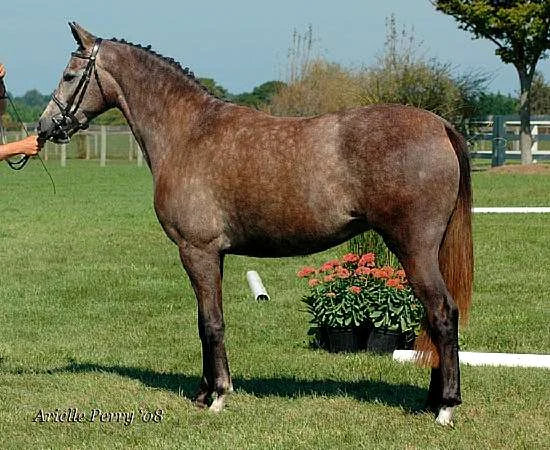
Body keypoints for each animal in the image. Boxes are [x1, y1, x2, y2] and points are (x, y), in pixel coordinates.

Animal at [38, 23, 473, 426]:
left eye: (70, 76)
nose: (45, 126)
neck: (188, 132)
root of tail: (440, 126)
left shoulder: (197, 251)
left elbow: (212, 323)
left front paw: (218, 395)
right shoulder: (212, 255)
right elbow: (204, 320)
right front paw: (203, 392)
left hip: (413, 249)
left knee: (442, 313)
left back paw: (445, 407)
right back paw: (432, 401)